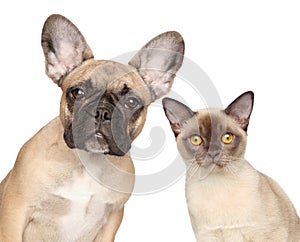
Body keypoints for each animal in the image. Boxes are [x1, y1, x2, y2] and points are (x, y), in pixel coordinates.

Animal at [0, 14, 185, 241]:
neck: (88, 164)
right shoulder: (15, 211)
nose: (102, 112)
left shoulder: (112, 218)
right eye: (77, 92)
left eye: (131, 102)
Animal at [164, 91, 300, 241]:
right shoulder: (208, 237)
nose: (213, 153)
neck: (217, 187)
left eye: (227, 138)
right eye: (196, 139)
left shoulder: (270, 236)